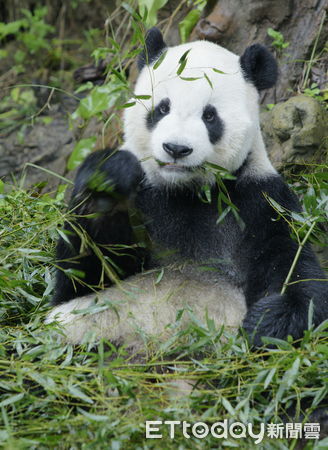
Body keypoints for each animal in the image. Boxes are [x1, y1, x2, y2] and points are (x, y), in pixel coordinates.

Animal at [46, 27, 328, 352]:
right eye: (162, 108)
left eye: (210, 116)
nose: (176, 148)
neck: (184, 190)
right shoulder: (145, 198)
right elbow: (82, 275)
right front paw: (107, 185)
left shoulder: (259, 200)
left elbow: (293, 267)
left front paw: (267, 322)